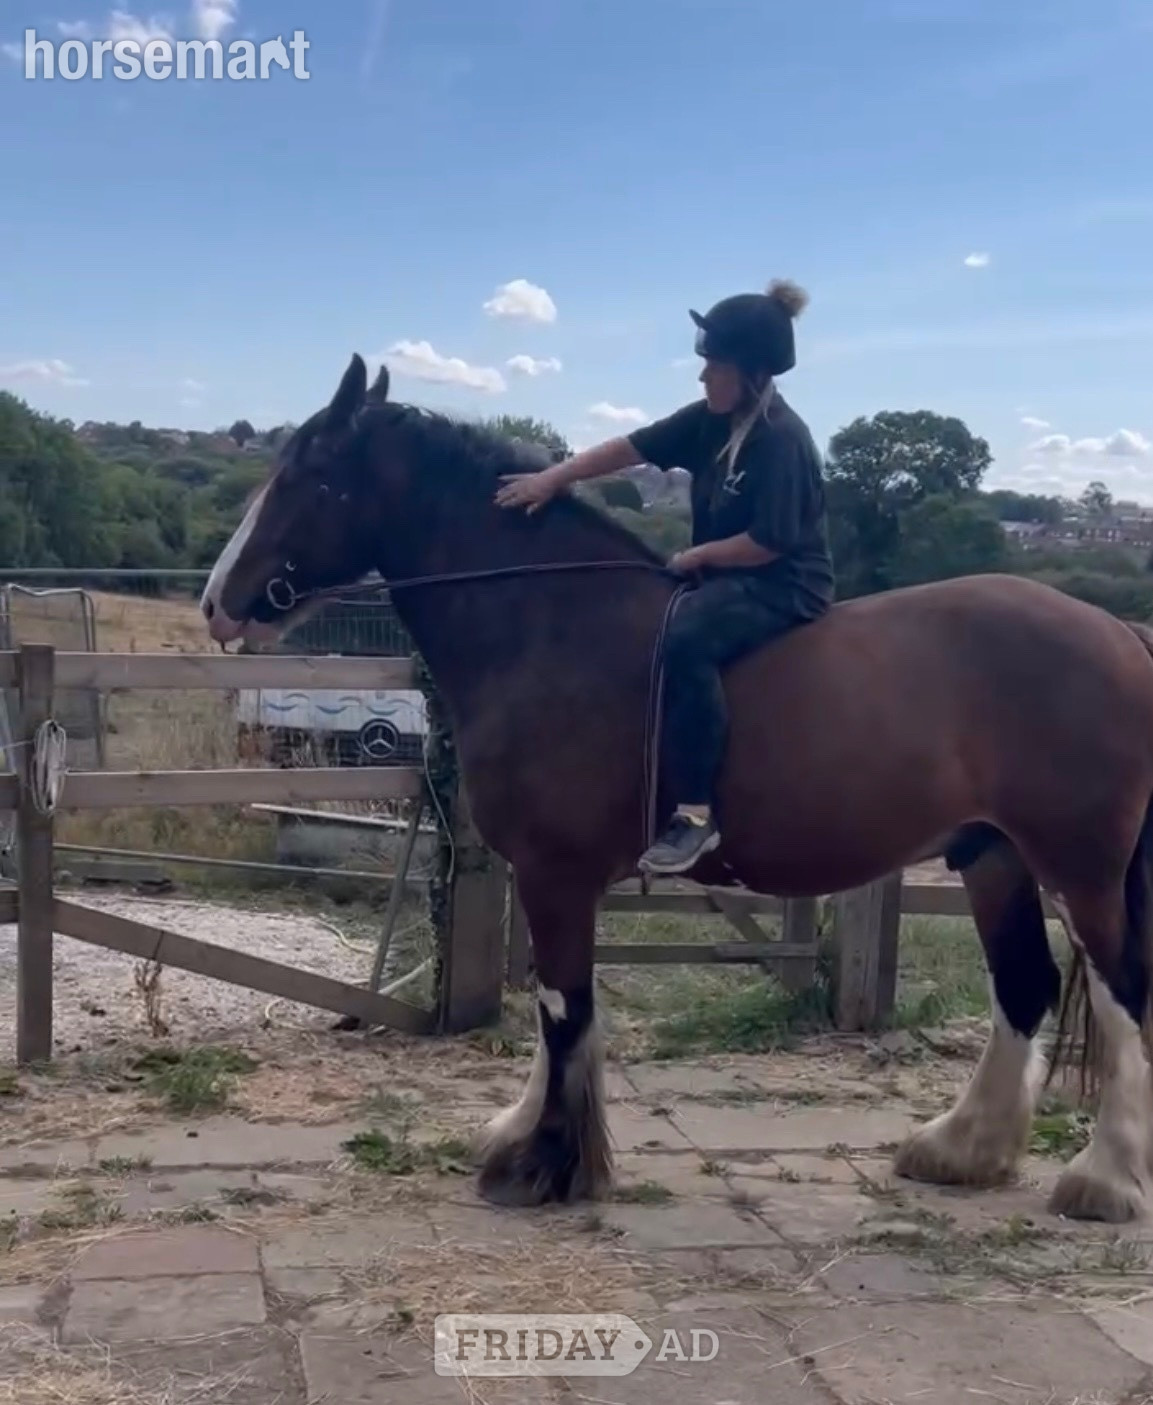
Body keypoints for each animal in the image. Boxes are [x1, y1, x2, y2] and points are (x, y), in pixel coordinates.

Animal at [200, 353, 1153, 1223]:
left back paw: (1105, 1178)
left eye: (311, 477)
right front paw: (526, 1136)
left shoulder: (553, 871)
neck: (552, 629)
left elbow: (564, 1008)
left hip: (1080, 868)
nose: (217, 601)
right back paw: (962, 1147)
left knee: (1122, 993)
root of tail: (1117, 631)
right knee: (1022, 986)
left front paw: (546, 1163)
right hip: (990, 854)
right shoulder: (550, 878)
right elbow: (557, 1006)